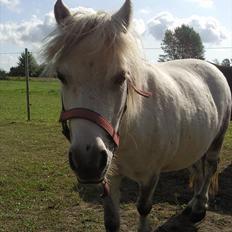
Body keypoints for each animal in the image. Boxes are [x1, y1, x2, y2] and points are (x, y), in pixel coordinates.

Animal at [43, 0, 230, 231]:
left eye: (121, 77)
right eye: (61, 76)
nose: (88, 162)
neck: (130, 129)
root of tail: (212, 68)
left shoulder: (150, 176)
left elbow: (143, 207)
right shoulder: (110, 176)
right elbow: (111, 221)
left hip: (217, 138)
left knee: (210, 166)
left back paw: (199, 208)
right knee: (197, 168)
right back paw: (192, 204)